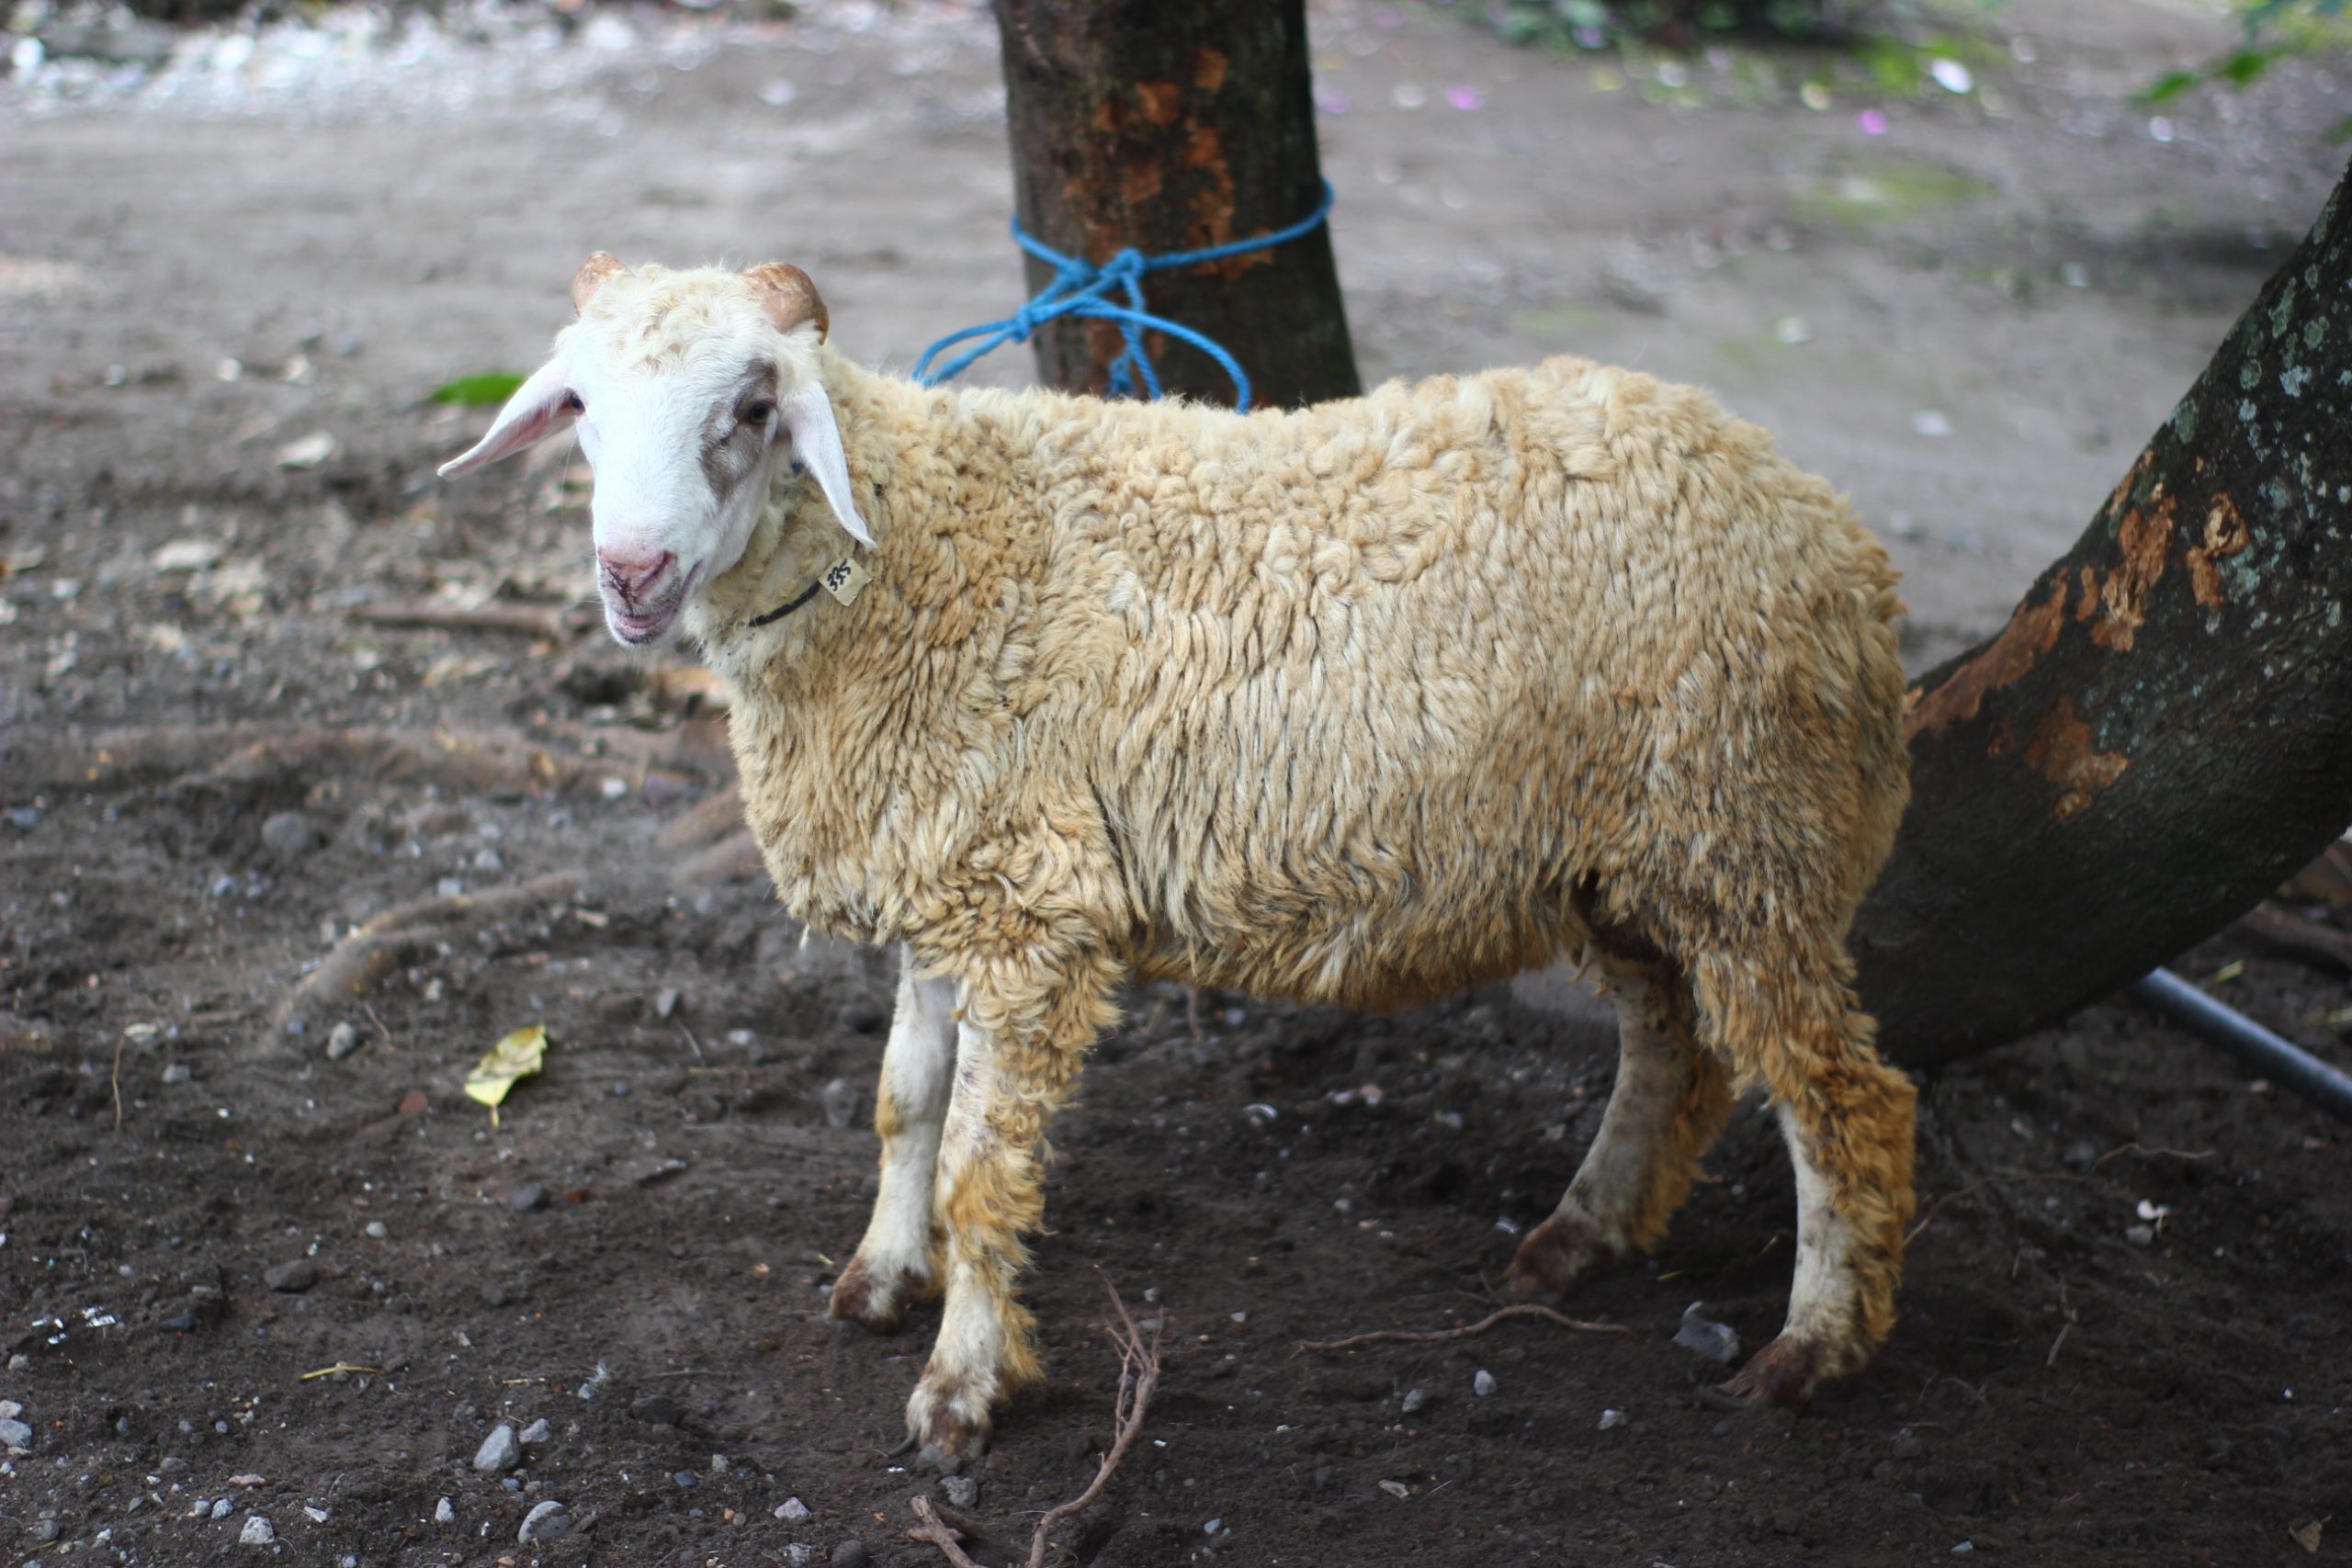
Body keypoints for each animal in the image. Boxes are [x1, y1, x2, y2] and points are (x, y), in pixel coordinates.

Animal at [440, 253, 1918, 1469]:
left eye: (753, 408)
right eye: (578, 405)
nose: (631, 575)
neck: (915, 548)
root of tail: (1830, 527)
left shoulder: (1031, 904)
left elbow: (979, 1160)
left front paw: (961, 1389)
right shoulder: (946, 875)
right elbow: (905, 1100)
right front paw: (880, 1275)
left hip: (1749, 828)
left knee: (1841, 1094)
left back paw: (1811, 1346)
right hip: (1628, 855)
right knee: (1674, 1040)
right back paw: (1583, 1230)